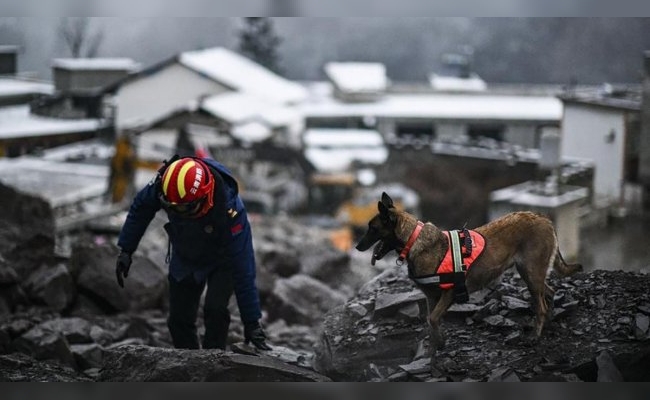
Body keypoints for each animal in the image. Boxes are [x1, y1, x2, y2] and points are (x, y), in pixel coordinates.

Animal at [354, 193, 584, 366]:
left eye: (372, 229)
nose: (357, 247)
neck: (413, 239)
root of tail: (543, 218)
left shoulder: (448, 293)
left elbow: (433, 319)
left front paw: (440, 343)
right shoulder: (431, 297)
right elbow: (430, 322)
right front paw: (432, 351)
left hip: (530, 272)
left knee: (541, 305)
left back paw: (535, 337)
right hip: (530, 273)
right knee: (549, 293)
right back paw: (549, 323)